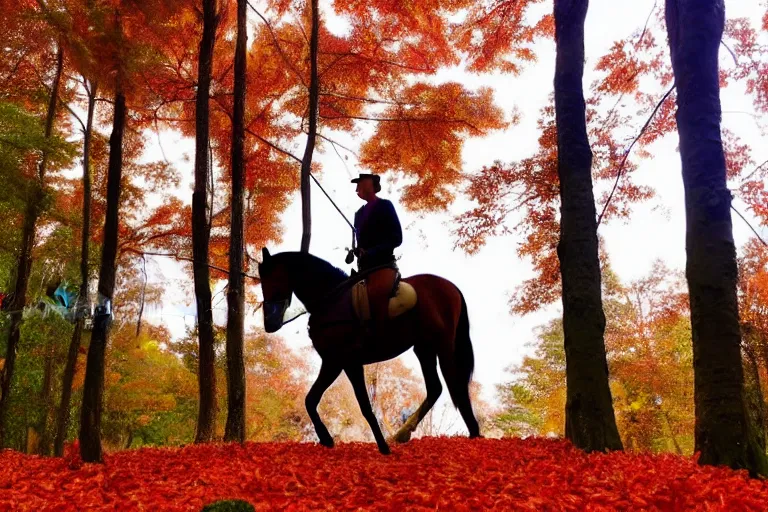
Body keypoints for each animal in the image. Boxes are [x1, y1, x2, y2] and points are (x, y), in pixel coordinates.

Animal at [258, 248, 480, 456]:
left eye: (272, 279)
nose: (269, 324)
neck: (332, 300)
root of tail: (451, 287)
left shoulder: (344, 363)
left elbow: (363, 405)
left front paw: (381, 447)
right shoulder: (335, 362)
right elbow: (311, 399)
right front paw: (327, 438)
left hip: (443, 346)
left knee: (456, 386)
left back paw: (474, 434)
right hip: (424, 348)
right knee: (435, 388)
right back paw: (403, 433)